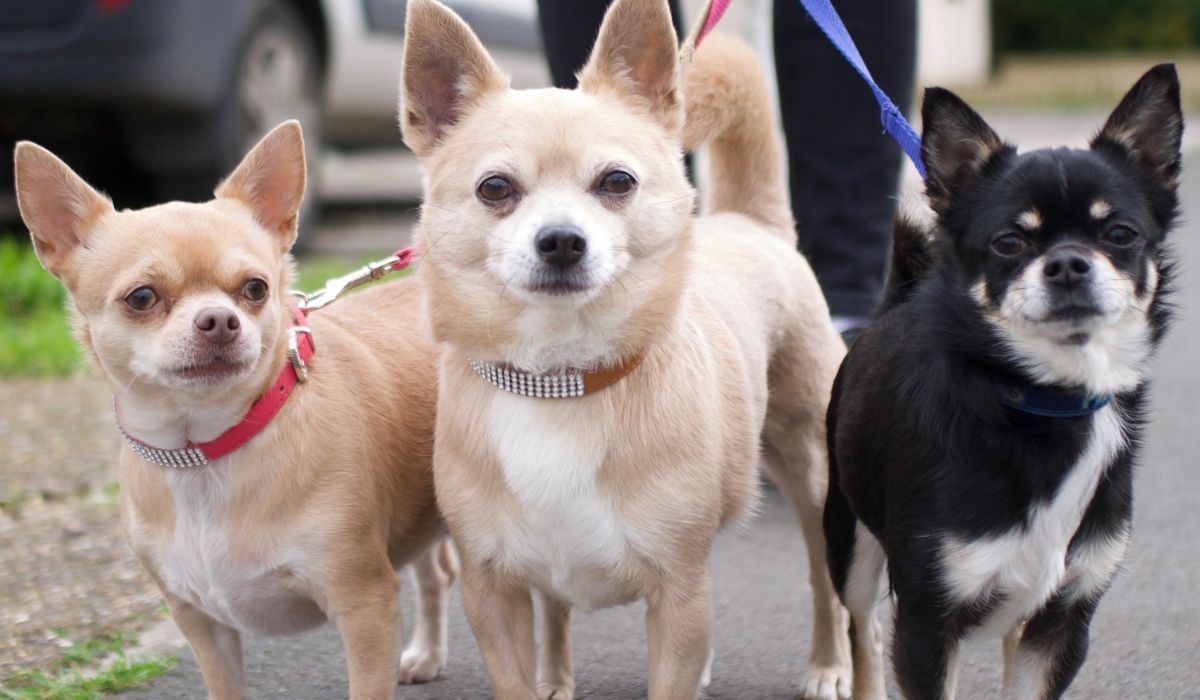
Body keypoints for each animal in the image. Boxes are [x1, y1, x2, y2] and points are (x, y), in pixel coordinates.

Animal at [16, 123, 460, 696]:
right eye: (141, 297)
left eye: (255, 289)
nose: (218, 319)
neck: (204, 451)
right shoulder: (202, 623)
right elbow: (224, 685)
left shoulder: (365, 606)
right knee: (436, 572)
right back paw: (426, 654)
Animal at [398, 1, 849, 700]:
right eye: (495, 188)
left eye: (617, 181)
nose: (561, 240)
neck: (559, 379)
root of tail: (751, 223)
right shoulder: (491, 593)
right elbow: (520, 665)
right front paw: (543, 681)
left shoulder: (679, 593)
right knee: (556, 612)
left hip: (812, 474)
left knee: (829, 586)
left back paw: (831, 667)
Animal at [825, 63, 1180, 696]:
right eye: (1009, 242)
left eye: (1119, 234)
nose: (1067, 263)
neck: (1044, 402)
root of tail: (896, 303)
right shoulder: (927, 622)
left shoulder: (1062, 622)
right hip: (850, 544)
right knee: (860, 629)